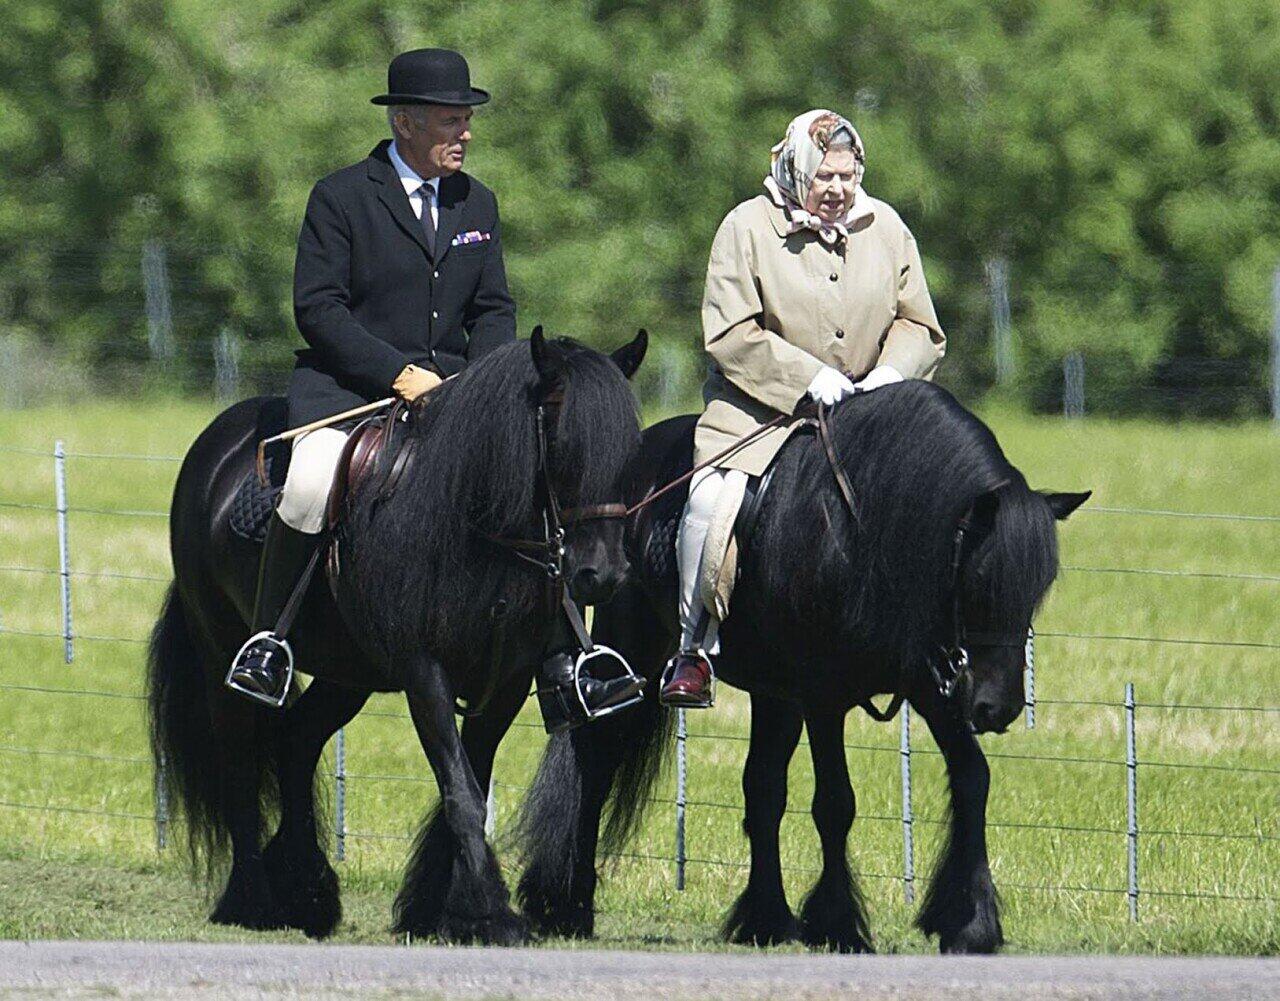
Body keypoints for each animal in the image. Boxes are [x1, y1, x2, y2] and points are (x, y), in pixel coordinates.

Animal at [148, 330, 645, 947]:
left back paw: (308, 892)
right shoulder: (423, 671)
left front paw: (442, 910)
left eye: (629, 448)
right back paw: (253, 898)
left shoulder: (504, 682)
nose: (602, 575)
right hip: (222, 647)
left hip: (346, 673)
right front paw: (489, 913)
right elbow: (460, 790)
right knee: (239, 760)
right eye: (559, 440)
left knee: (295, 742)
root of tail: (219, 441)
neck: (467, 522)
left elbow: (472, 782)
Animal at [514, 381, 1085, 957]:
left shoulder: (931, 685)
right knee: (596, 761)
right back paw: (569, 904)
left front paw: (971, 922)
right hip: (635, 650)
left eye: (1039, 587)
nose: (996, 707)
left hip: (773, 694)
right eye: (981, 580)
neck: (866, 528)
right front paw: (838, 923)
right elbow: (835, 803)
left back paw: (764, 918)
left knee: (763, 789)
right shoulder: (824, 694)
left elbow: (972, 778)